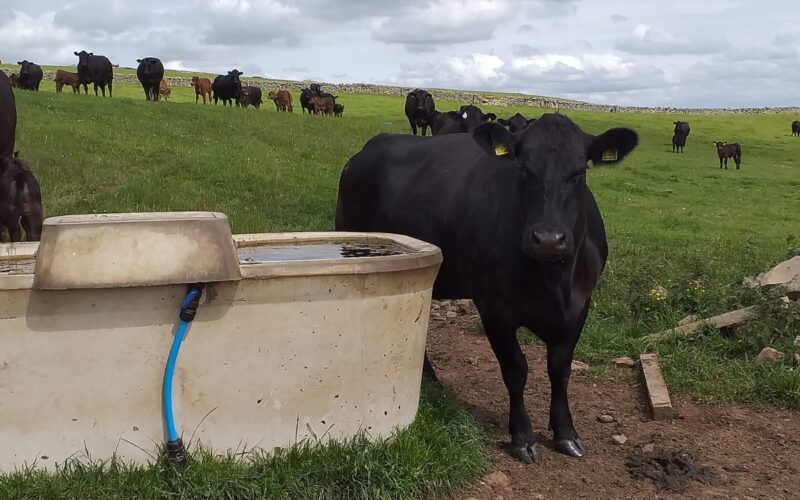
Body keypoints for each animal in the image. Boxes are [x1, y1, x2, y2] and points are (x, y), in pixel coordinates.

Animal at [334, 112, 640, 460]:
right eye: (523, 168)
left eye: (580, 171)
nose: (549, 239)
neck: (554, 281)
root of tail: (368, 149)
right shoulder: (494, 309)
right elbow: (516, 370)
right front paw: (523, 437)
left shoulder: (580, 306)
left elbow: (560, 369)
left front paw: (566, 433)